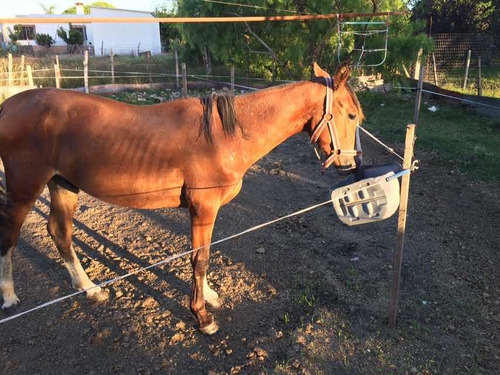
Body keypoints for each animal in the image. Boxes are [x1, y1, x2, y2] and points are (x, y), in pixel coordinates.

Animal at [0, 63, 362, 334]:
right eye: (352, 116)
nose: (349, 164)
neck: (223, 135)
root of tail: (8, 106)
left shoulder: (204, 212)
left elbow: (205, 256)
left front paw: (210, 296)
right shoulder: (203, 209)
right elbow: (199, 259)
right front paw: (202, 316)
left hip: (63, 185)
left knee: (60, 232)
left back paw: (88, 287)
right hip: (25, 188)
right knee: (11, 235)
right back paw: (9, 296)